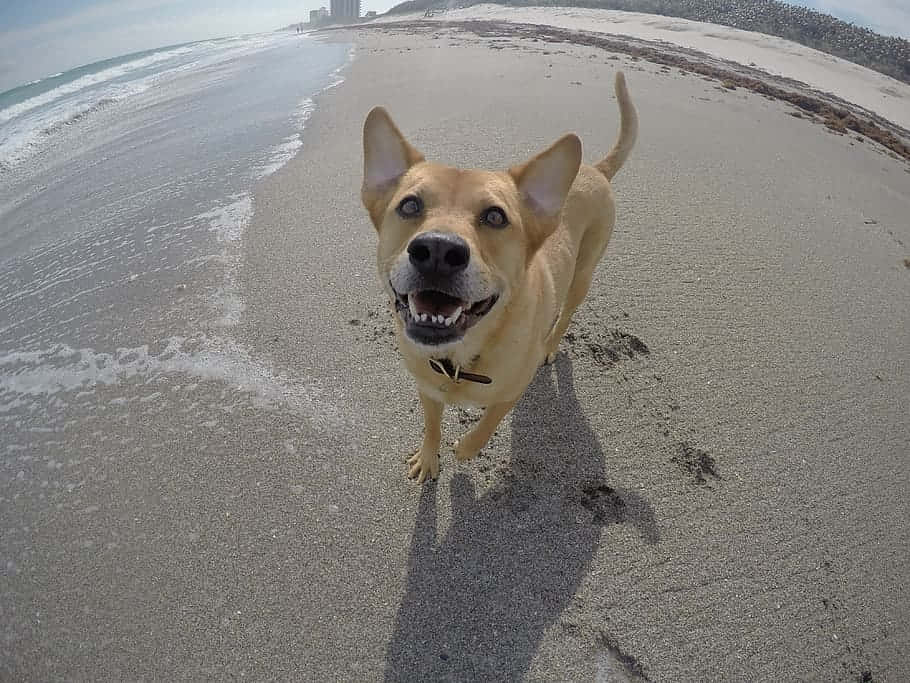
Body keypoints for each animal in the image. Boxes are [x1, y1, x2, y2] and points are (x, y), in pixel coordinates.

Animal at [360, 72, 636, 484]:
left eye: (495, 216)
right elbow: (432, 426)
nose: (438, 251)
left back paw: (551, 344)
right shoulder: (427, 390)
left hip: (582, 276)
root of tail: (595, 170)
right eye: (409, 205)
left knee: (566, 314)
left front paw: (466, 450)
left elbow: (488, 424)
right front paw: (429, 458)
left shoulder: (510, 393)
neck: (460, 358)